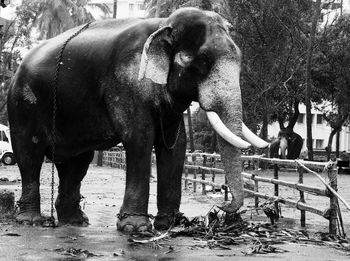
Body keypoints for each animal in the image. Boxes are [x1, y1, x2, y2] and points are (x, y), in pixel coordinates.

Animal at [7, 7, 268, 232]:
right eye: (203, 60)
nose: (220, 205)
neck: (163, 24)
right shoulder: (126, 82)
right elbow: (140, 136)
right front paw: (136, 228)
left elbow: (175, 146)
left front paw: (171, 225)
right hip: (23, 104)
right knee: (30, 155)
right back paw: (31, 221)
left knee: (77, 163)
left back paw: (76, 222)